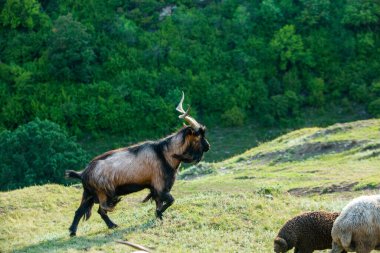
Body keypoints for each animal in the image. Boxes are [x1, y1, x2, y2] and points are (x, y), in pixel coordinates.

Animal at [65, 92, 208, 236]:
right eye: (198, 135)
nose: (208, 146)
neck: (164, 153)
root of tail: (83, 173)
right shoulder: (160, 186)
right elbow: (170, 201)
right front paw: (158, 214)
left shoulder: (155, 188)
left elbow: (159, 203)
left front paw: (159, 218)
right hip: (103, 193)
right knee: (101, 209)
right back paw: (112, 224)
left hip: (88, 193)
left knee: (81, 211)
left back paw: (74, 232)